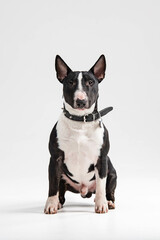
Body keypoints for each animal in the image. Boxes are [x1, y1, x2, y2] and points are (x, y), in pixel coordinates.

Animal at [44, 54, 117, 214]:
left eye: (91, 82)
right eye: (70, 82)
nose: (81, 101)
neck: (80, 122)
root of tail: (84, 190)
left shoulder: (101, 159)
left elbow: (101, 186)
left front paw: (101, 204)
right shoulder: (55, 159)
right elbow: (52, 185)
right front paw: (51, 204)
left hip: (112, 173)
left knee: (108, 189)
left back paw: (109, 201)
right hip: (63, 177)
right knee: (61, 192)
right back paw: (58, 203)